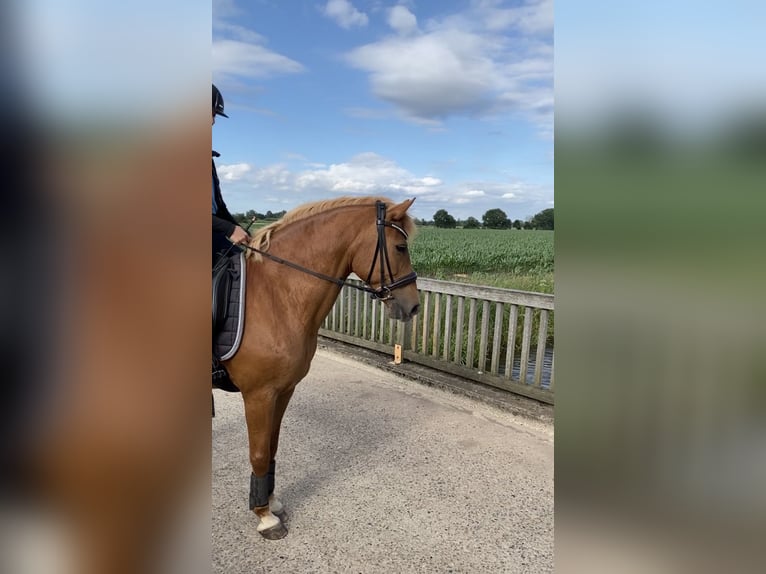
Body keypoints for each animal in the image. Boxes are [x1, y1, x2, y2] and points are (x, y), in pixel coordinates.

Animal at [219, 196, 420, 540]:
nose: (414, 305)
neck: (276, 296)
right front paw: (264, 516)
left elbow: (271, 447)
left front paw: (271, 502)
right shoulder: (258, 394)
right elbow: (258, 452)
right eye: (400, 247)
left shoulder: (283, 391)